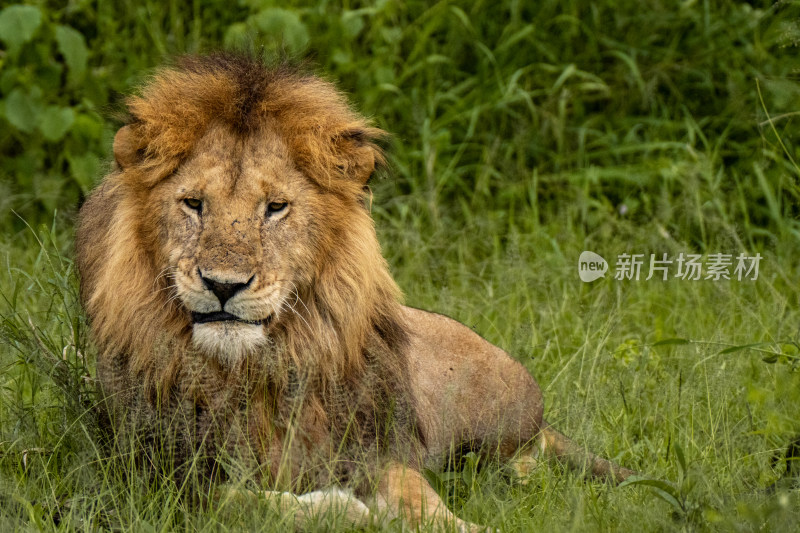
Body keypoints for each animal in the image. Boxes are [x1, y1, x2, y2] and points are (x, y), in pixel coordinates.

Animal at [76, 53, 636, 528]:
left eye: (275, 208)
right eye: (193, 204)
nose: (222, 285)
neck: (254, 371)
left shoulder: (371, 447)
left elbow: (418, 494)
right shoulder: (158, 476)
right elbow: (254, 503)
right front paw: (344, 509)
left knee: (522, 456)